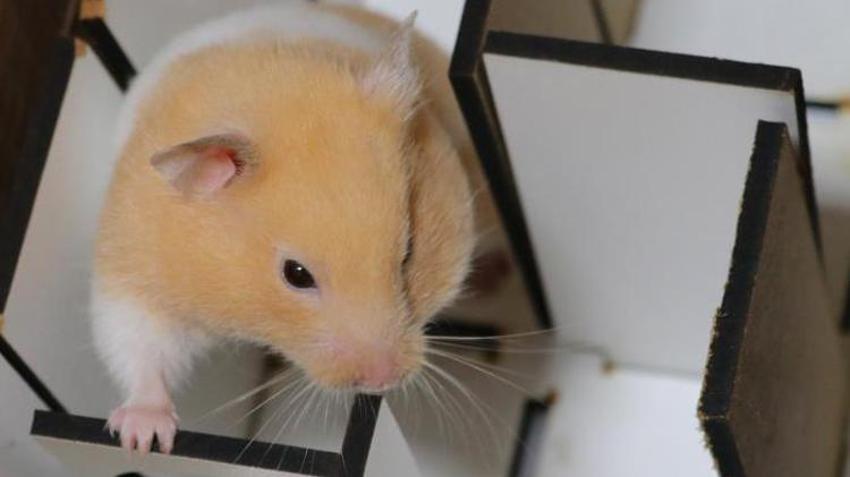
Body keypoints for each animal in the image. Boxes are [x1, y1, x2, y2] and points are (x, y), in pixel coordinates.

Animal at [90, 2, 502, 454]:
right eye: (296, 275)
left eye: (409, 252)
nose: (383, 381)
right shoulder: (133, 269)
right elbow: (139, 346)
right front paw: (144, 439)